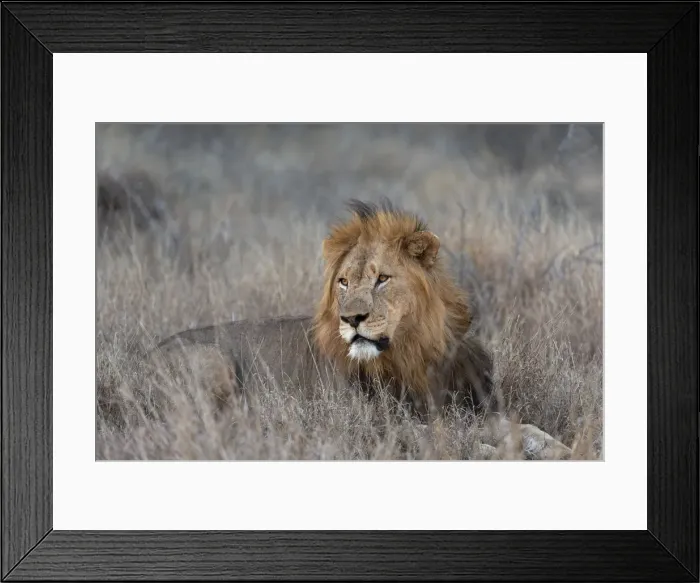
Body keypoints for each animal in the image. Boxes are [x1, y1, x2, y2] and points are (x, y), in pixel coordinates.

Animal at [118, 199, 572, 460]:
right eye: (343, 283)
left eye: (382, 279)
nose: (351, 319)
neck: (412, 354)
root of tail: (134, 365)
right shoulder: (376, 423)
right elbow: (441, 439)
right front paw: (491, 453)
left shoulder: (463, 406)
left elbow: (524, 427)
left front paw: (559, 449)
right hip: (214, 363)